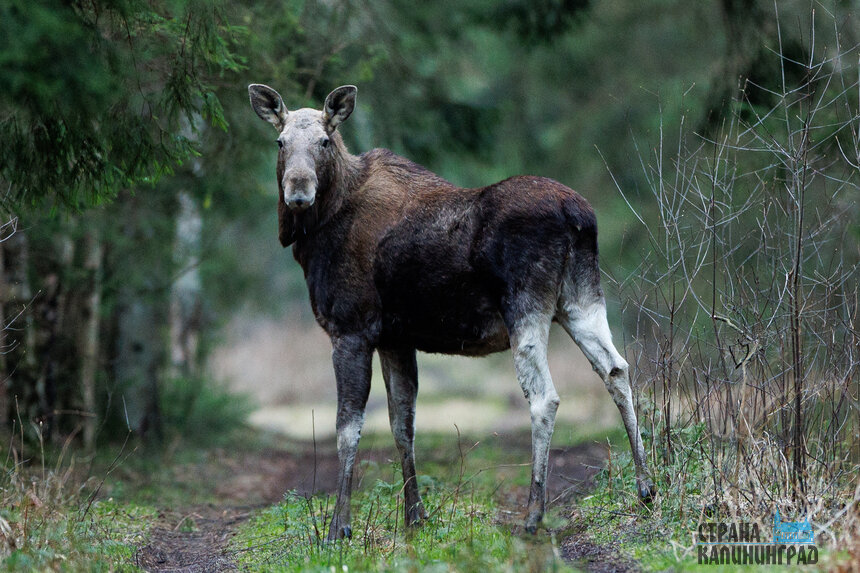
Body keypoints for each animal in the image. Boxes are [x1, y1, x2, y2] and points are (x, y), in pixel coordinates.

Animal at [248, 83, 654, 541]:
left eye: (324, 140)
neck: (317, 232)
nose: (298, 193)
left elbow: (347, 430)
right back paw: (645, 486)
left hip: (526, 307)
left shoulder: (350, 329)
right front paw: (415, 516)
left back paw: (533, 514)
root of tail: (578, 216)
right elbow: (402, 424)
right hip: (580, 300)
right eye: (280, 142)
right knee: (616, 369)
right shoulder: (395, 338)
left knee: (545, 398)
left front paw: (340, 528)